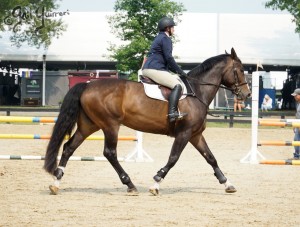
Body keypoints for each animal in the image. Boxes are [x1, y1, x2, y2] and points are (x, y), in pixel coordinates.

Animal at [44, 47, 251, 195]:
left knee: (69, 147)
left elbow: (211, 158)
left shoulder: (195, 134)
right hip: (110, 125)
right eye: (240, 70)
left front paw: (227, 184)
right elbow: (173, 158)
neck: (197, 92)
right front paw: (156, 183)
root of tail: (87, 85)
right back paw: (130, 184)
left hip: (89, 125)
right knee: (109, 153)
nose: (247, 94)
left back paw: (56, 182)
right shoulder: (184, 134)